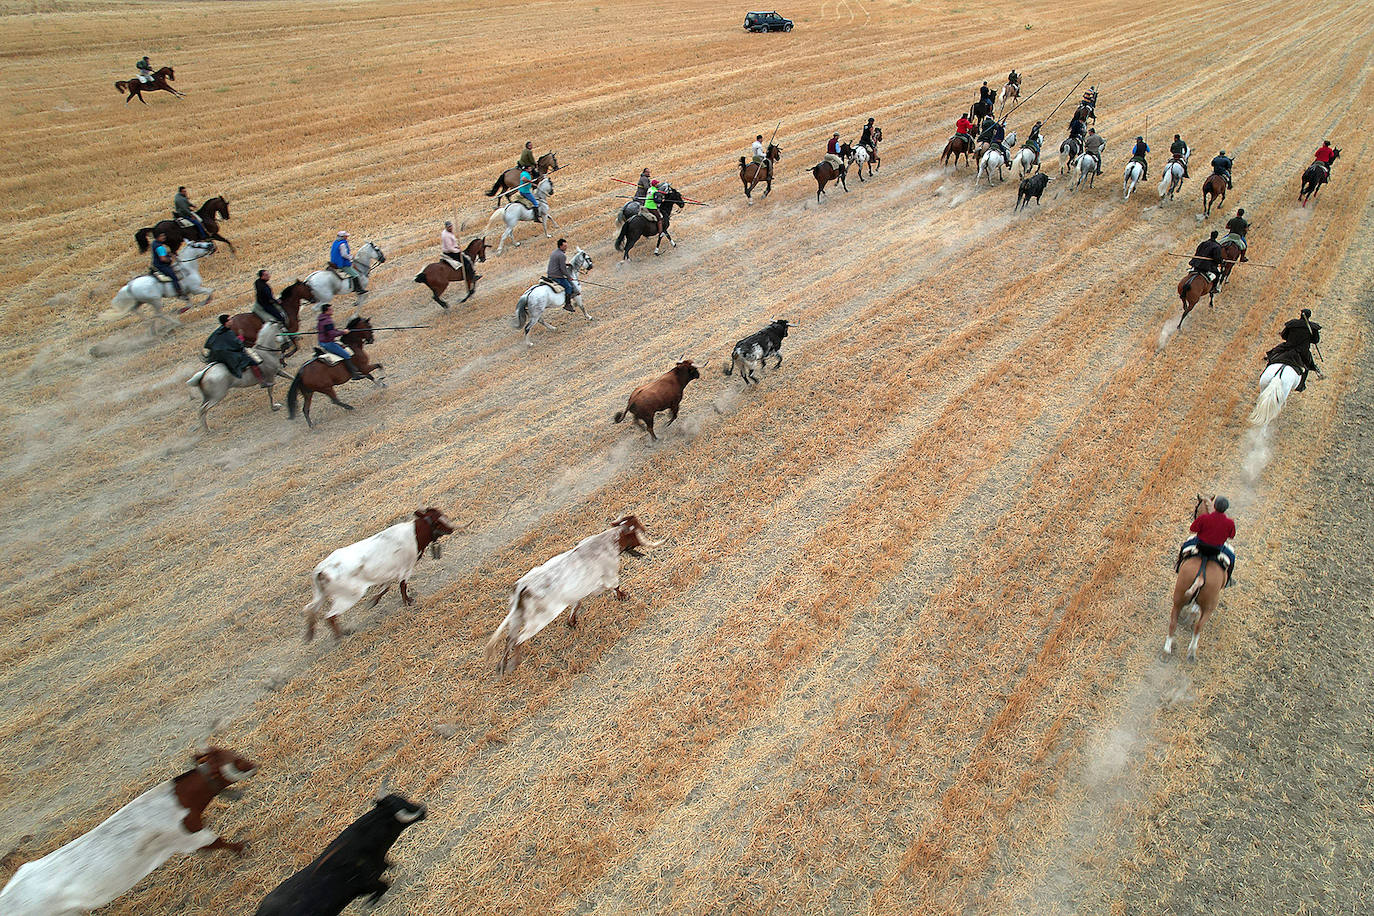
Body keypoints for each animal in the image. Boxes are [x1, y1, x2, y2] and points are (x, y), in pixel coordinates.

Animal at [0, 747, 258, 911]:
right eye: (236, 760)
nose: (255, 764)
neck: (178, 801)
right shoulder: (191, 836)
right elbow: (217, 841)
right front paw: (242, 846)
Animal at [305, 508, 456, 645]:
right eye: (438, 521)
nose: (452, 528)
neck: (414, 534)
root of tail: (321, 570)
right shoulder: (406, 568)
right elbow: (402, 585)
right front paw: (408, 601)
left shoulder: (390, 573)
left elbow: (386, 588)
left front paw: (374, 601)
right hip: (349, 596)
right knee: (330, 616)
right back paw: (340, 635)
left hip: (320, 594)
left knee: (310, 609)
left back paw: (310, 635)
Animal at [486, 519, 662, 678]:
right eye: (636, 532)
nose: (645, 532)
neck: (607, 540)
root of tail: (524, 587)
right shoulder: (610, 574)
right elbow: (615, 587)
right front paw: (623, 596)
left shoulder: (578, 592)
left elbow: (577, 604)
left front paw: (572, 622)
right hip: (539, 620)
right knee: (518, 639)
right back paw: (514, 663)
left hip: (517, 617)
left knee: (509, 638)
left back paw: (501, 666)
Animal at [1165, 497, 1231, 661]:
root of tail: (1201, 576)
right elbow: (1195, 609)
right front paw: (1189, 617)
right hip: (1209, 604)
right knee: (1195, 626)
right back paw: (1187, 651)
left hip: (1181, 596)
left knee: (1179, 623)